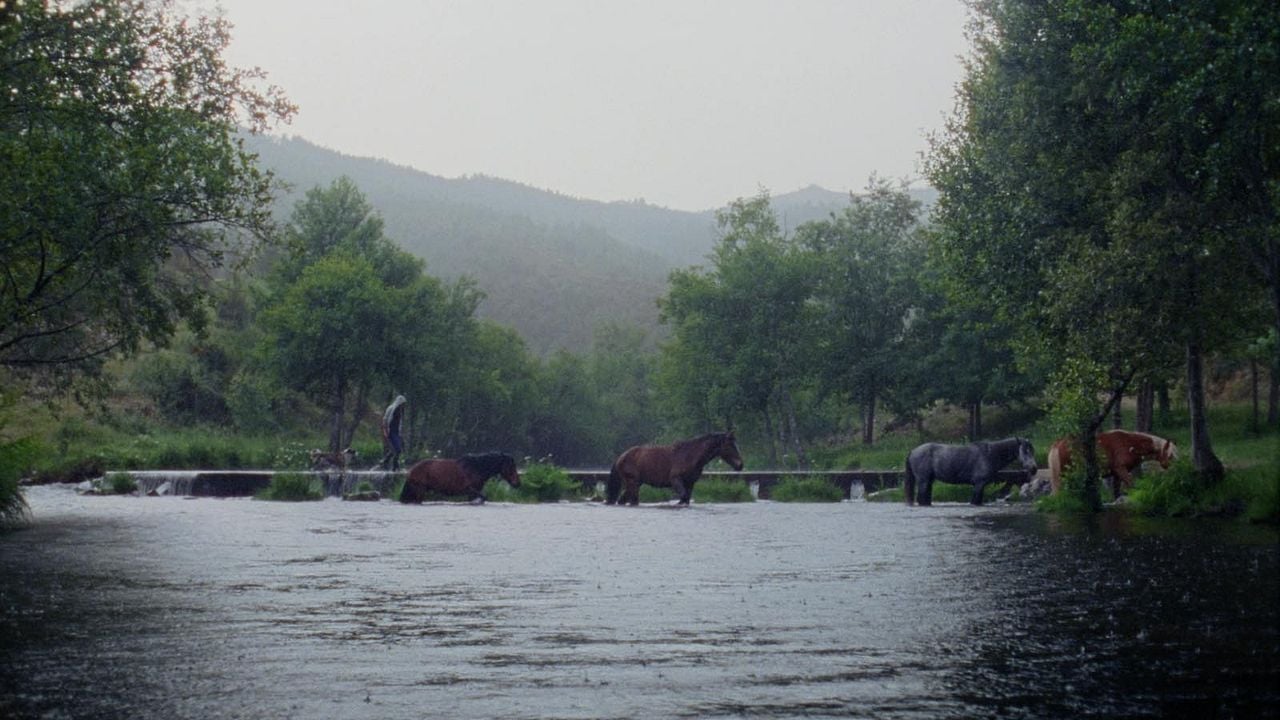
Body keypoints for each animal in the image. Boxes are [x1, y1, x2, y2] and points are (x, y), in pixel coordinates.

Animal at [604, 430, 747, 504]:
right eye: (730, 445)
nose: (740, 465)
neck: (690, 455)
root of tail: (621, 457)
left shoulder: (690, 483)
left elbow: (687, 498)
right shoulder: (676, 480)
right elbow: (683, 497)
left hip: (635, 483)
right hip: (632, 483)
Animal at [1049, 427, 1177, 497]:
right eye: (1170, 455)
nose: (1173, 468)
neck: (1130, 444)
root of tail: (1058, 444)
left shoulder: (1116, 474)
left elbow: (1116, 491)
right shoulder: (1120, 468)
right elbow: (1131, 484)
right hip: (1066, 474)